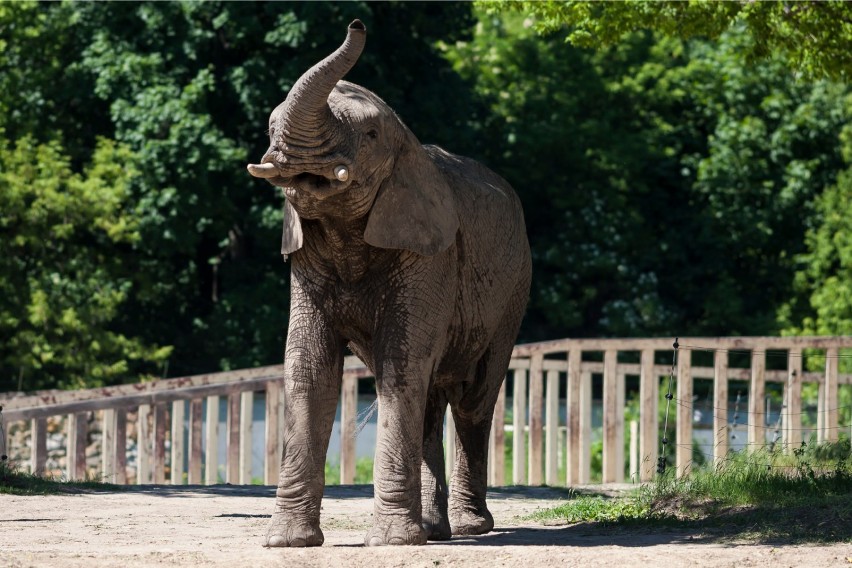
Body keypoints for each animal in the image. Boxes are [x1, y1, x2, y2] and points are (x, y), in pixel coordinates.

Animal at [246, 20, 528, 548]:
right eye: (270, 129)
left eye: (371, 135)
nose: (357, 23)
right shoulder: (305, 257)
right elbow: (309, 366)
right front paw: (288, 542)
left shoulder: (431, 255)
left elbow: (403, 359)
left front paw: (391, 542)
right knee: (431, 402)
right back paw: (435, 531)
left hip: (513, 294)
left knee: (473, 400)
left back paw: (470, 527)